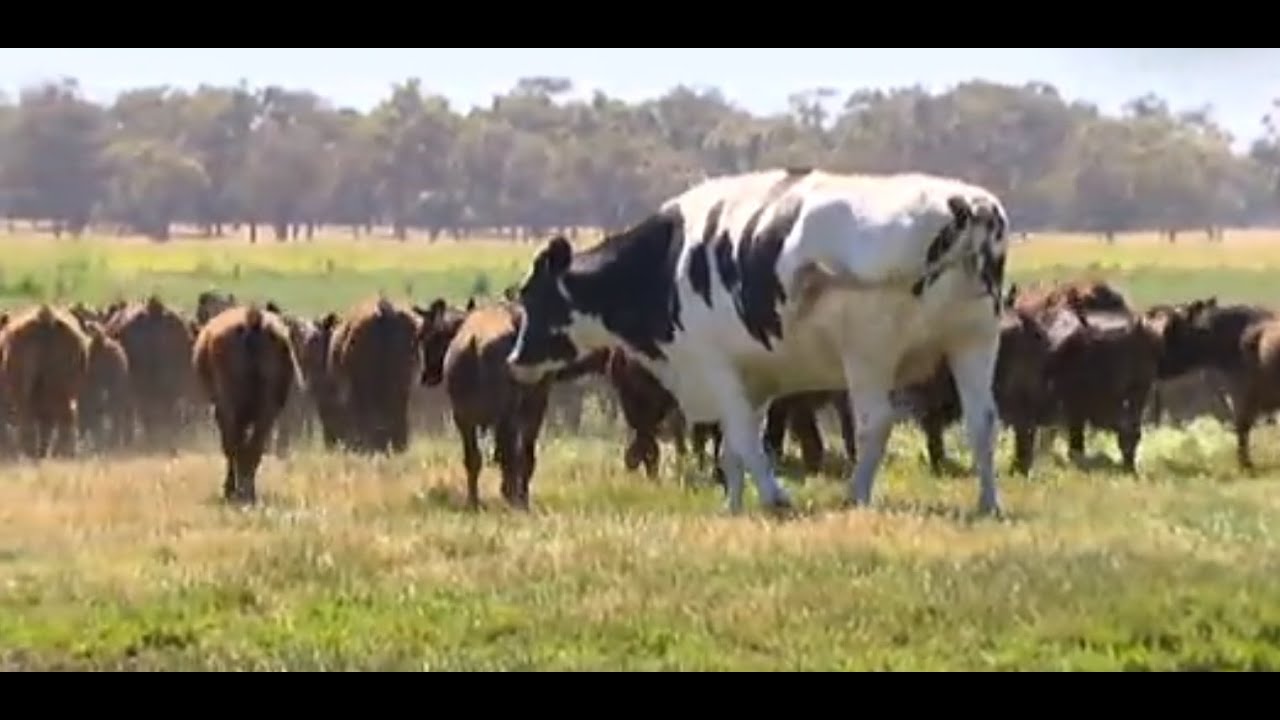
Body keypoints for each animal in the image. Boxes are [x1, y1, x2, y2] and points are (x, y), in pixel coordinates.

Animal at [0, 304, 88, 456]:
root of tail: (46, 318)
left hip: (24, 389)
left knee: (27, 417)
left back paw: (30, 452)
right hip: (63, 386)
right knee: (67, 417)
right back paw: (63, 453)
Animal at [192, 304, 299, 502]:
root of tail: (252, 321)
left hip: (229, 407)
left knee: (233, 444)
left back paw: (234, 490)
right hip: (267, 410)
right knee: (254, 446)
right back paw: (248, 491)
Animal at [499, 166, 1008, 515]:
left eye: (532, 295)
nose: (515, 360)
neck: (668, 263)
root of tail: (968, 205)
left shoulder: (715, 366)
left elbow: (744, 438)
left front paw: (775, 497)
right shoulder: (755, 377)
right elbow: (736, 446)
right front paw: (734, 504)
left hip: (869, 352)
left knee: (875, 422)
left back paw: (856, 496)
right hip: (973, 342)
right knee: (982, 422)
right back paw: (988, 503)